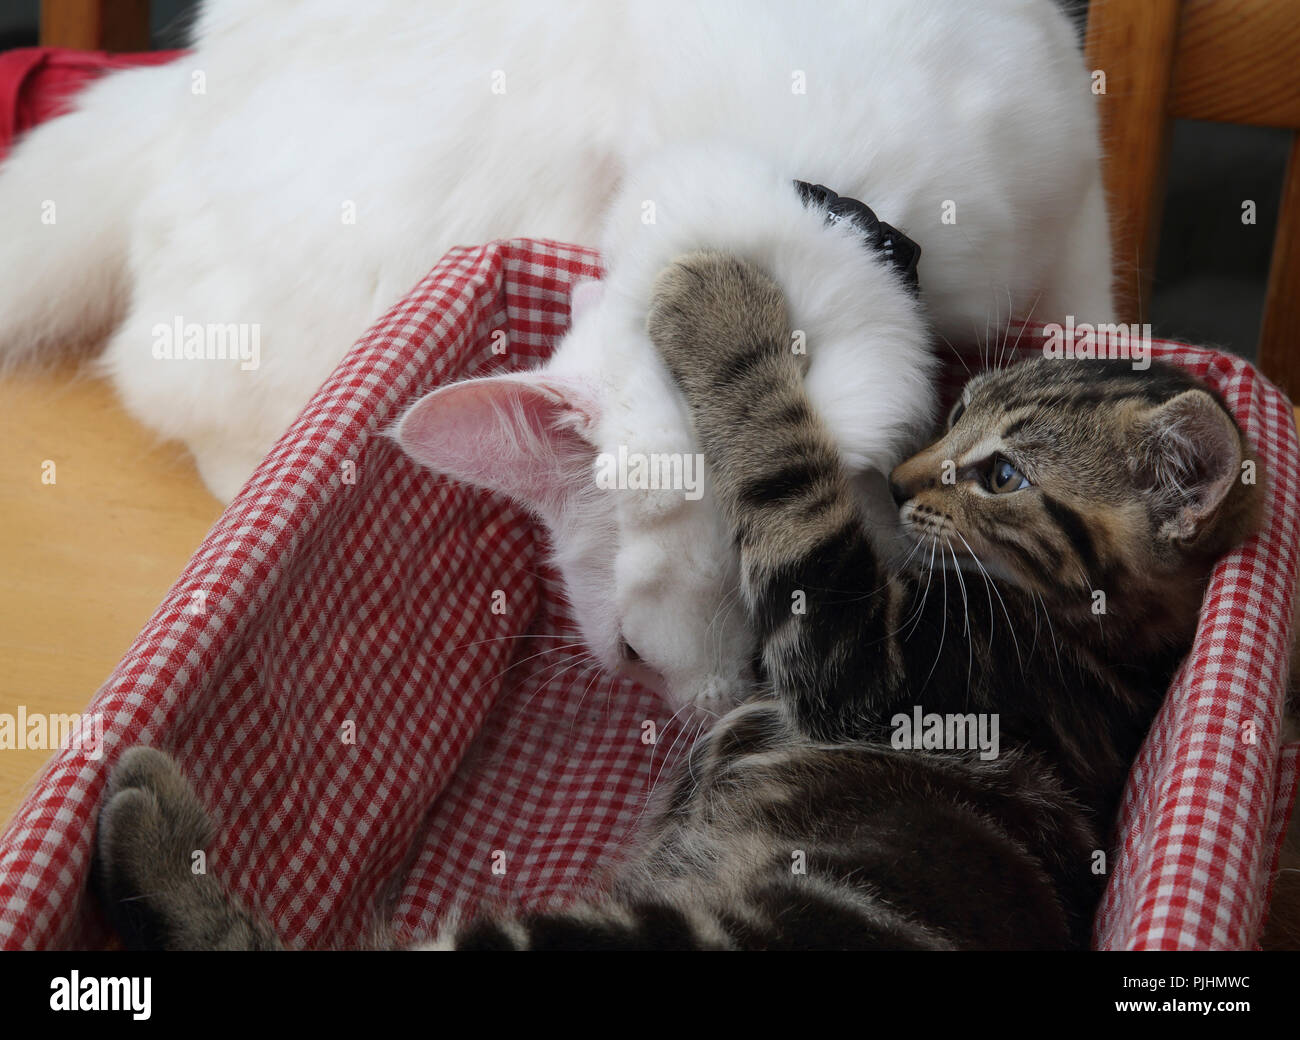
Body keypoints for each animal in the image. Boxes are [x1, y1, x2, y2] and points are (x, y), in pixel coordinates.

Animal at [2, 0, 1118, 707]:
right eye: (629, 656)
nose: (699, 712)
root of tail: (180, 84)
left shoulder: (1076, 217)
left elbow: (1091, 323)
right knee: (168, 387)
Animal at [98, 252, 1258, 951]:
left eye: (1002, 475)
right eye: (960, 411)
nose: (900, 478)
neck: (1093, 644)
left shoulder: (883, 670)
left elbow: (789, 480)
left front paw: (724, 310)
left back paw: (158, 834)